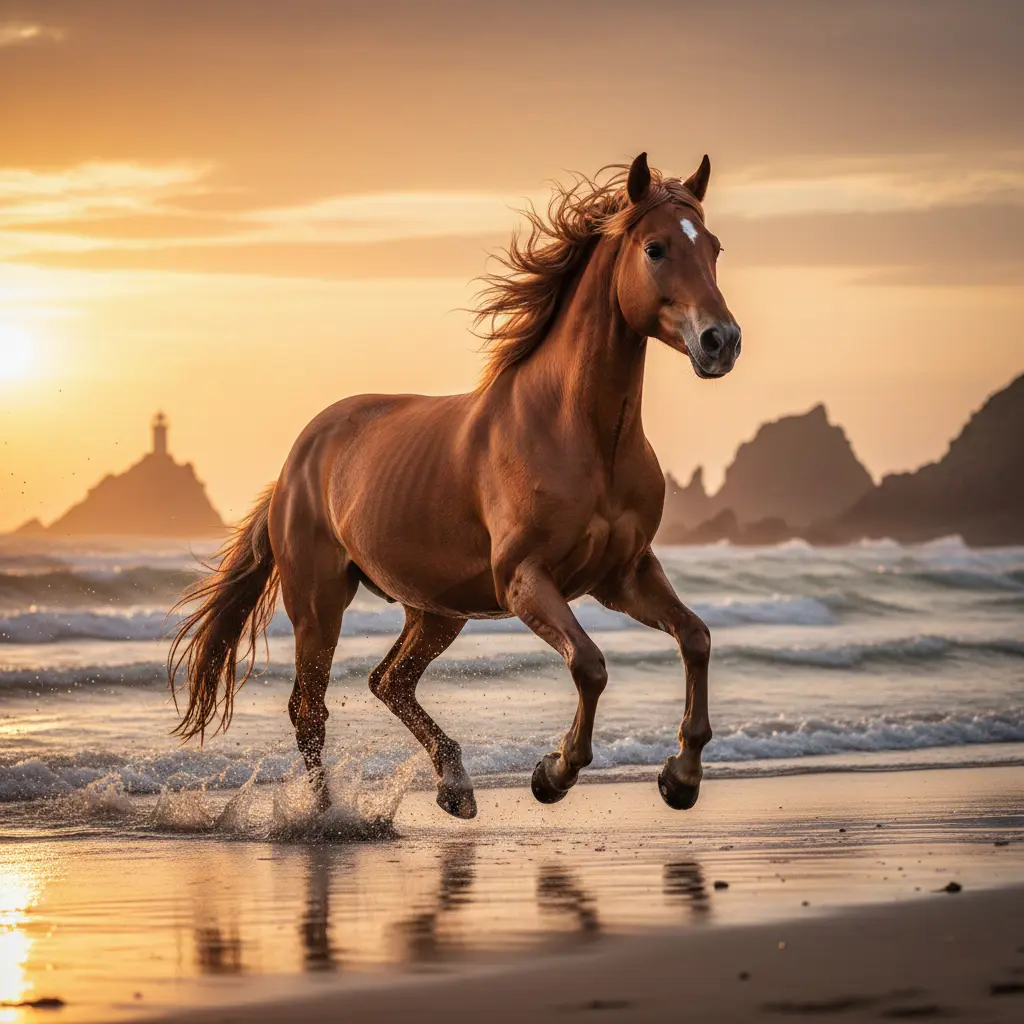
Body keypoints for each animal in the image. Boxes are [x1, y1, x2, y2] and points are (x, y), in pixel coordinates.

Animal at [169, 152, 742, 819]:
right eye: (655, 248)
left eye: (715, 248)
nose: (721, 341)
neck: (579, 433)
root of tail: (296, 460)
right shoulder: (524, 578)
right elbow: (590, 663)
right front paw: (554, 773)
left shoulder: (622, 575)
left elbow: (695, 638)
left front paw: (682, 778)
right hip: (319, 603)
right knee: (309, 709)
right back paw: (328, 815)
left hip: (437, 609)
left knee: (387, 680)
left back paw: (454, 784)